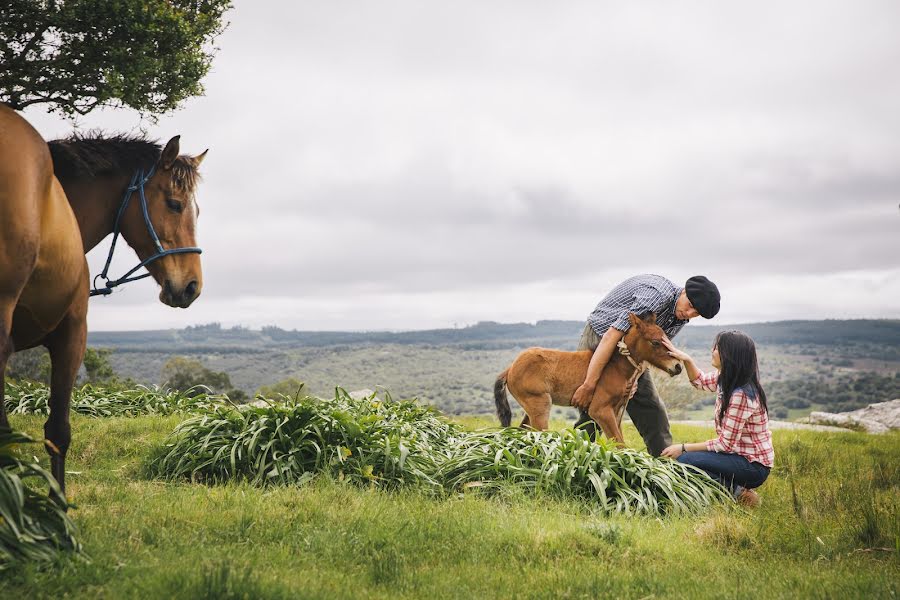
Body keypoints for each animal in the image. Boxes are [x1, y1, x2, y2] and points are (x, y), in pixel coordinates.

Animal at [492, 314, 684, 446]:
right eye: (655, 342)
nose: (677, 367)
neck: (614, 366)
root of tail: (510, 369)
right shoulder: (600, 410)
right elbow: (620, 444)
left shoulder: (616, 410)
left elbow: (618, 441)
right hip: (540, 405)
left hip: (532, 408)